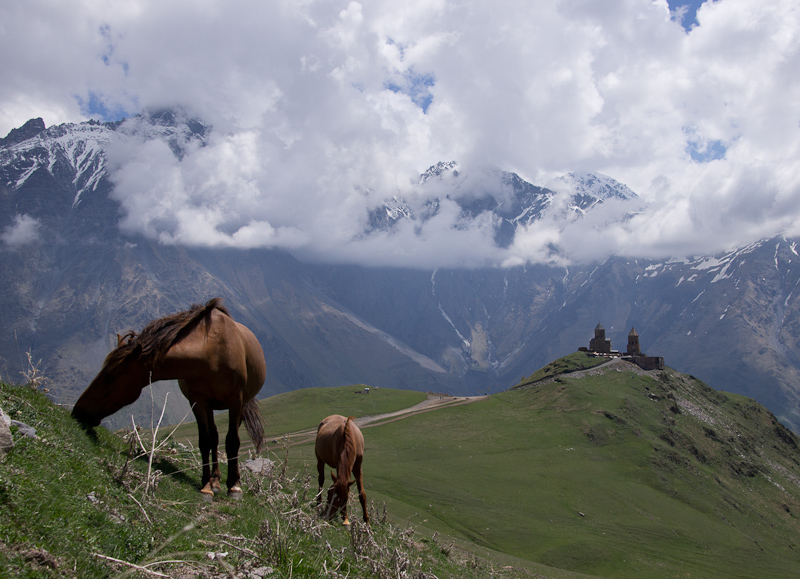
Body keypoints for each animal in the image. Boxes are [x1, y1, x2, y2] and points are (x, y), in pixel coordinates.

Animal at [72, 300, 266, 498]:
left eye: (110, 376)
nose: (78, 410)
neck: (213, 352)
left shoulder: (236, 400)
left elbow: (233, 441)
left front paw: (235, 486)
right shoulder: (198, 401)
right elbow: (205, 441)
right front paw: (206, 486)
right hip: (210, 405)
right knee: (214, 437)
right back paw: (216, 481)